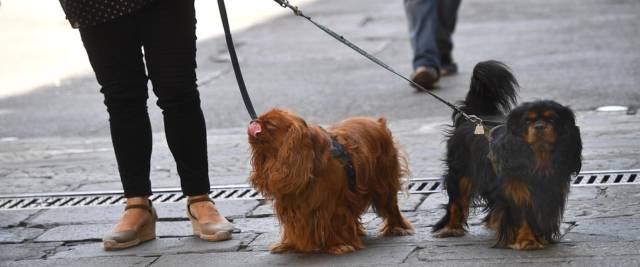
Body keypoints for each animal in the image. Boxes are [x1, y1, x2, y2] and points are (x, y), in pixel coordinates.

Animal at [245, 108, 416, 255]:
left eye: (269, 124)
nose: (253, 121)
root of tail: (378, 122)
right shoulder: (292, 203)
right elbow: (293, 226)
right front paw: (289, 245)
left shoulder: (333, 204)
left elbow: (333, 222)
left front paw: (338, 245)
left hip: (383, 184)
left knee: (391, 206)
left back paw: (397, 228)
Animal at [432, 60, 584, 251]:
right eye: (528, 121)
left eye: (551, 119)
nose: (539, 126)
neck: (538, 156)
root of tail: (474, 117)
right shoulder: (515, 190)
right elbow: (521, 215)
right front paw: (527, 241)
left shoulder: (550, 192)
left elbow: (540, 215)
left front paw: (541, 238)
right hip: (460, 174)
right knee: (456, 202)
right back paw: (450, 228)